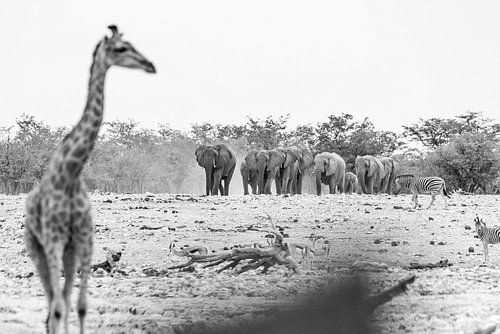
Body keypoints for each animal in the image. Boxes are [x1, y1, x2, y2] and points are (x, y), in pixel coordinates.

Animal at [23, 24, 155, 332]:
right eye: (121, 48)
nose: (150, 65)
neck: (71, 174)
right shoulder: (54, 241)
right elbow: (60, 306)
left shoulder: (84, 240)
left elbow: (81, 305)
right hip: (38, 248)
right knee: (53, 302)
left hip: (67, 251)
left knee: (63, 299)